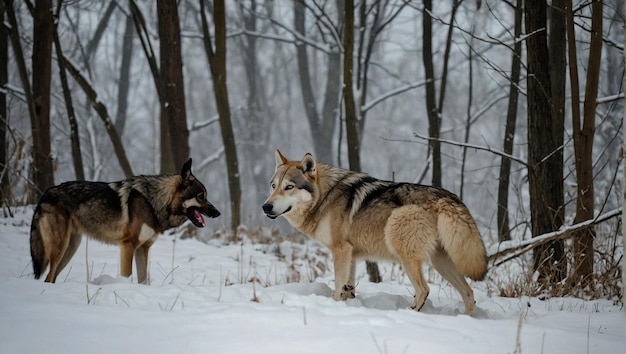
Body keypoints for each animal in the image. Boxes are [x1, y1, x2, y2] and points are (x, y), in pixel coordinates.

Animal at [29, 159, 219, 284]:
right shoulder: (128, 246)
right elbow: (127, 275)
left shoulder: (143, 248)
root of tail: (44, 194)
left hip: (70, 249)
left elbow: (143, 280)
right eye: (201, 197)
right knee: (48, 277)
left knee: (51, 278)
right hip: (59, 249)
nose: (218, 213)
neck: (154, 202)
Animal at [260, 149, 486, 316]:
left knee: (424, 289)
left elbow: (337, 286)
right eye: (273, 186)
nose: (266, 206)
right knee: (468, 292)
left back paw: (410, 312)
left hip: (403, 246)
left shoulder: (340, 250)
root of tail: (447, 197)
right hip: (441, 263)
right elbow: (347, 288)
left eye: (289, 187)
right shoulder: (350, 255)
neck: (325, 196)